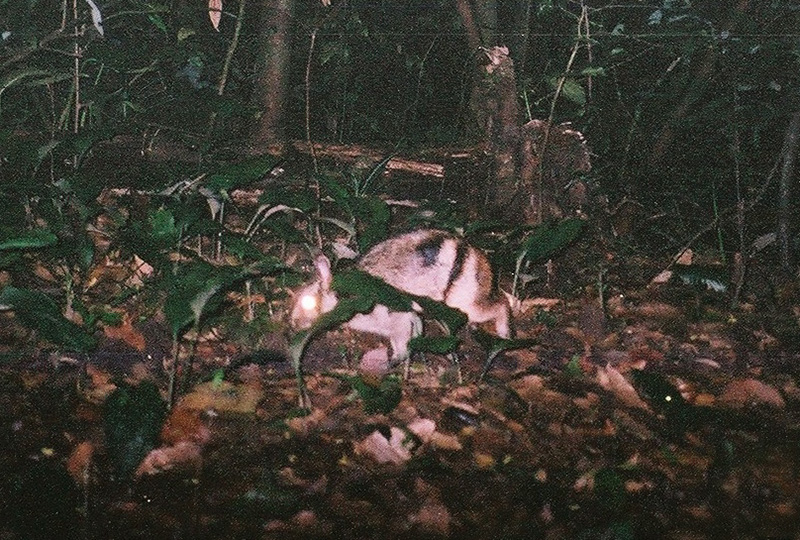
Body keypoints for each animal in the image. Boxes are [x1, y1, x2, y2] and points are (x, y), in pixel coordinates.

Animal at [290, 229, 510, 362]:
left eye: (308, 302)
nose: (293, 324)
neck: (342, 295)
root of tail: (476, 255)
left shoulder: (398, 316)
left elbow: (401, 345)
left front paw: (395, 362)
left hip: (464, 303)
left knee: (502, 304)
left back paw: (505, 334)